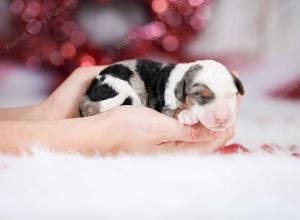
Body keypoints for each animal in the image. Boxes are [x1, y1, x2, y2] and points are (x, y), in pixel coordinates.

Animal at [79, 58, 244, 131]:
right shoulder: (164, 105)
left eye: (233, 95)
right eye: (198, 94)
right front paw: (187, 114)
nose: (223, 118)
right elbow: (173, 110)